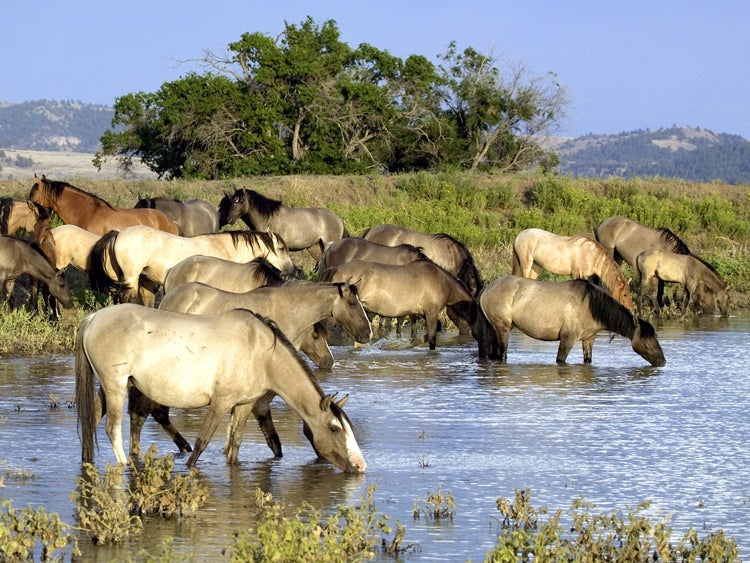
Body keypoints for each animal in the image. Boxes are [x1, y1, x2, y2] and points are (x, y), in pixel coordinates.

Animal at [74, 304, 368, 472]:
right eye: (334, 428)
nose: (360, 465)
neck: (261, 351)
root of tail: (94, 318)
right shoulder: (221, 402)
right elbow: (202, 442)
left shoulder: (244, 404)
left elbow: (234, 443)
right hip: (115, 386)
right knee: (112, 428)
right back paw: (124, 466)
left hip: (109, 387)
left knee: (92, 420)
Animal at [216, 189, 348, 258]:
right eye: (232, 202)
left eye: (241, 201)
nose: (229, 219)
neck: (268, 220)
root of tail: (338, 219)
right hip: (315, 247)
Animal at [478, 276, 668, 366]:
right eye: (647, 339)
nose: (662, 361)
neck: (589, 305)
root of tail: (486, 290)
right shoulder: (567, 339)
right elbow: (561, 360)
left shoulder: (588, 339)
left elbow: (587, 360)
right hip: (502, 329)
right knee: (502, 354)